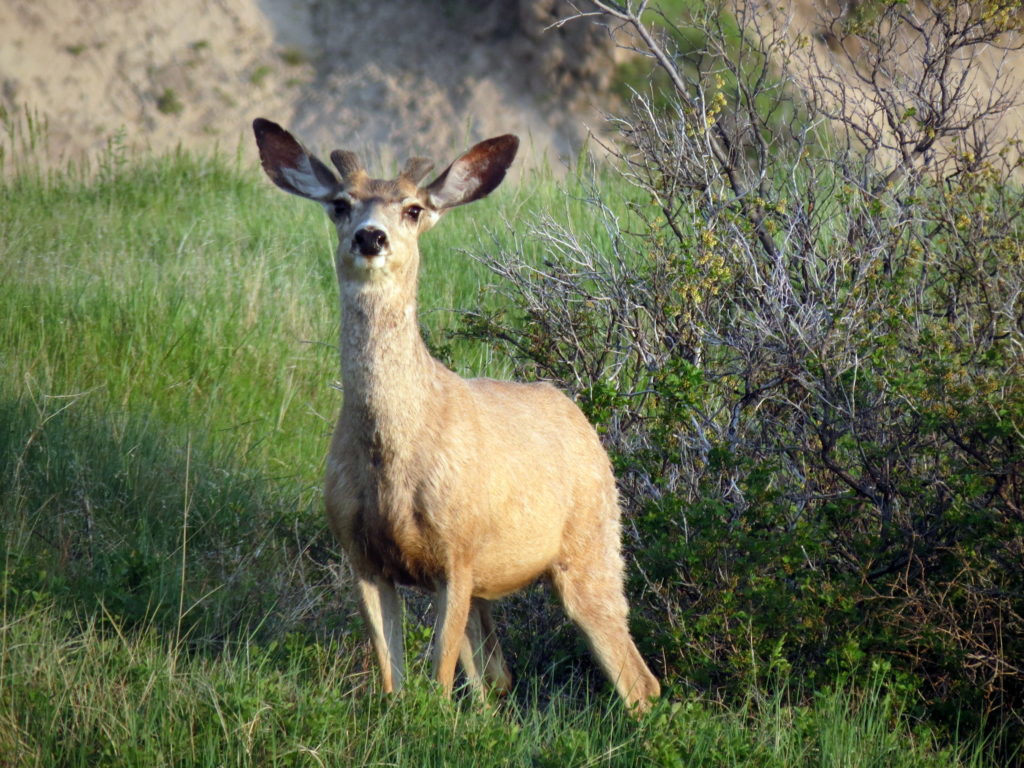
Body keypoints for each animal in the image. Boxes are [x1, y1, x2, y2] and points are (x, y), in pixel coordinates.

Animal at [251, 118, 659, 716]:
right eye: (340, 204)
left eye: (413, 208)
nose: (370, 237)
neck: (392, 454)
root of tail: (580, 416)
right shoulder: (361, 555)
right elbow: (393, 678)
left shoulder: (458, 550)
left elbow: (439, 679)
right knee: (498, 674)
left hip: (593, 542)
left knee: (636, 677)